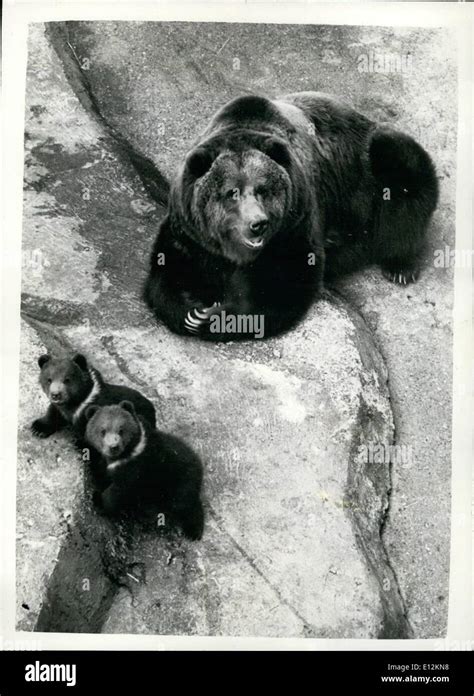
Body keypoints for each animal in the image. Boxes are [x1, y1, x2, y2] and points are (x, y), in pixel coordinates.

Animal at [85, 400, 204, 540]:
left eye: (121, 430)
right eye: (102, 431)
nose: (113, 447)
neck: (125, 454)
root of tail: (199, 463)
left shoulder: (136, 468)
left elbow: (118, 490)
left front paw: (99, 500)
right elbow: (103, 473)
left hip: (179, 480)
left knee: (185, 505)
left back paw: (193, 532)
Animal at [143, 91, 436, 342]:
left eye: (263, 189)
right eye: (231, 193)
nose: (257, 224)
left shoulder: (294, 224)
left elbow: (282, 286)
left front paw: (212, 317)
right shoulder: (189, 230)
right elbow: (168, 272)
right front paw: (190, 310)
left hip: (367, 170)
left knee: (401, 164)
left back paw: (400, 266)